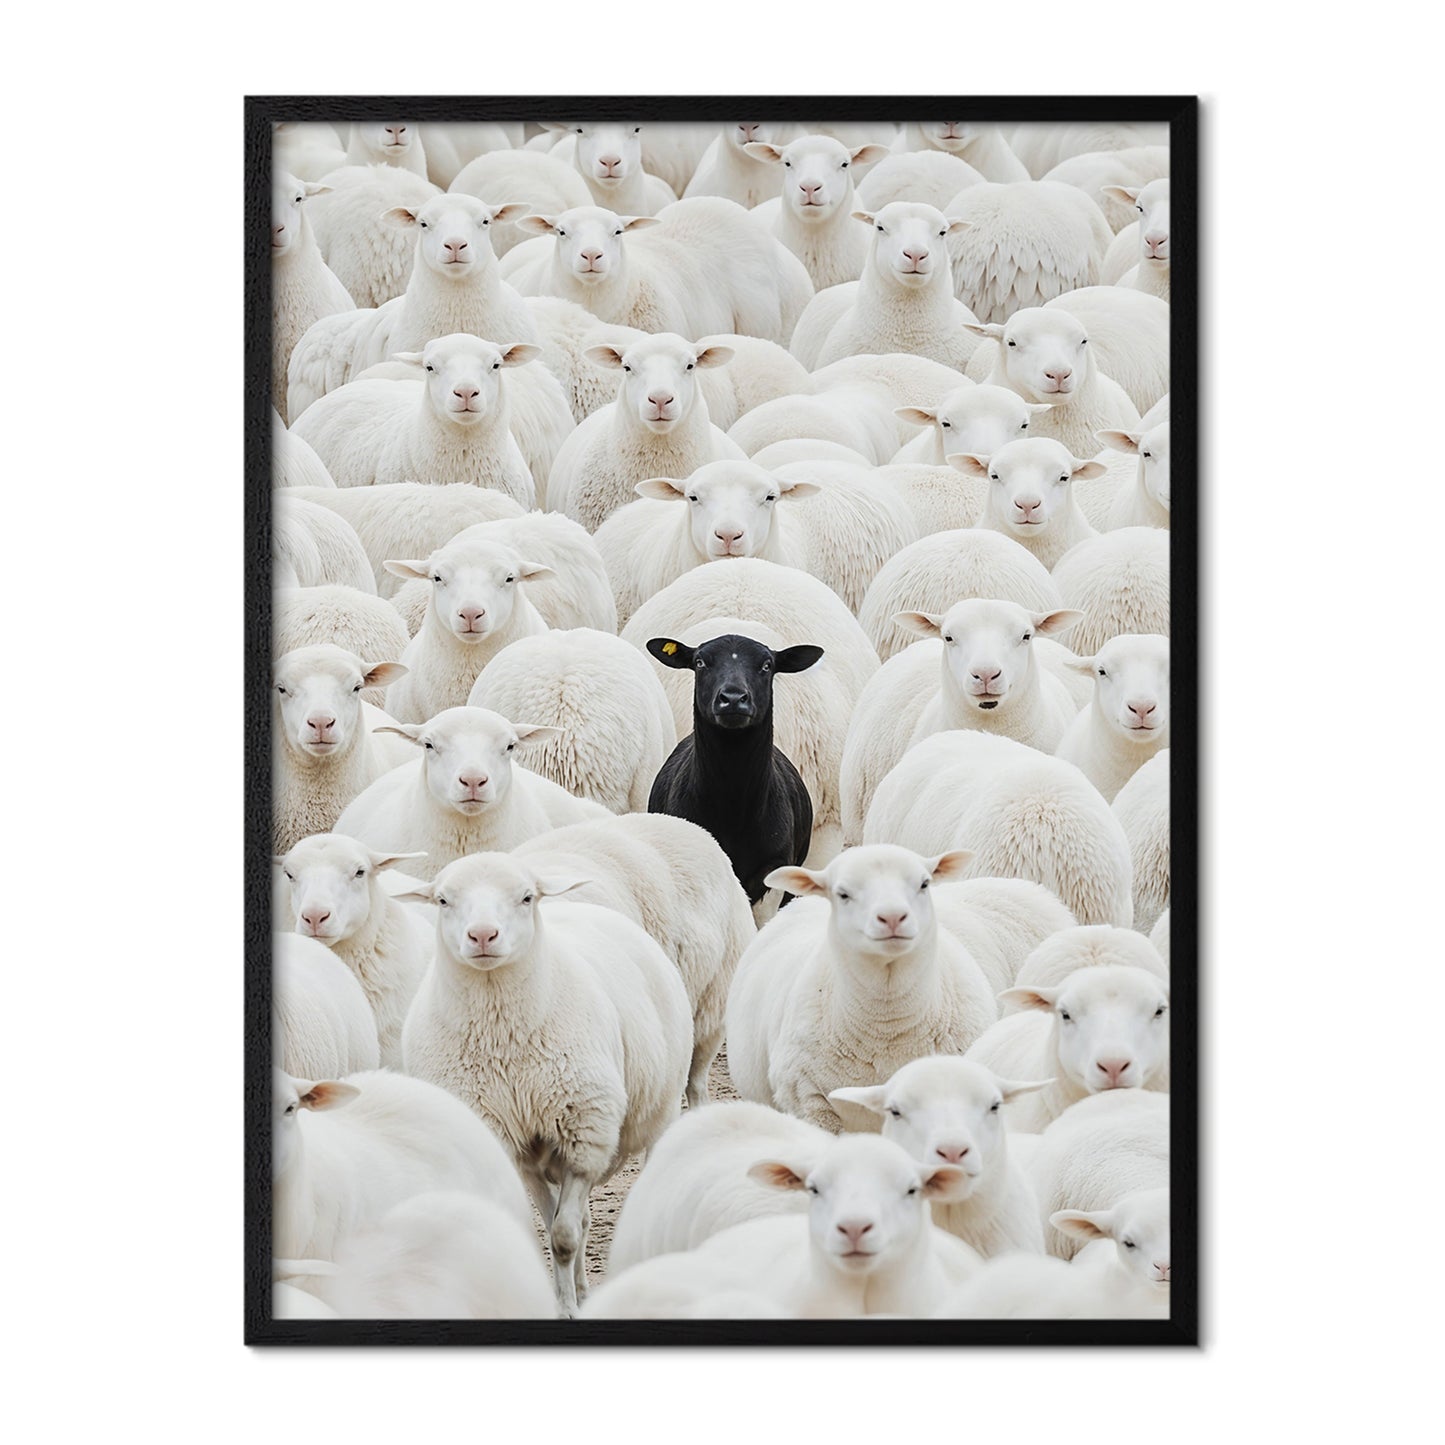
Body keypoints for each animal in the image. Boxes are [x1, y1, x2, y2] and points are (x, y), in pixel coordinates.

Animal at [400, 852, 691, 1313]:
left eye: (526, 897)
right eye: (443, 900)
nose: (483, 935)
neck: (502, 1037)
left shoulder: (583, 1137)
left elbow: (564, 1236)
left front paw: (568, 1308)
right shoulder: (515, 1145)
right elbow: (555, 1224)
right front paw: (567, 1300)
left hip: (661, 1113)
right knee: (584, 1219)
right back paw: (585, 1289)